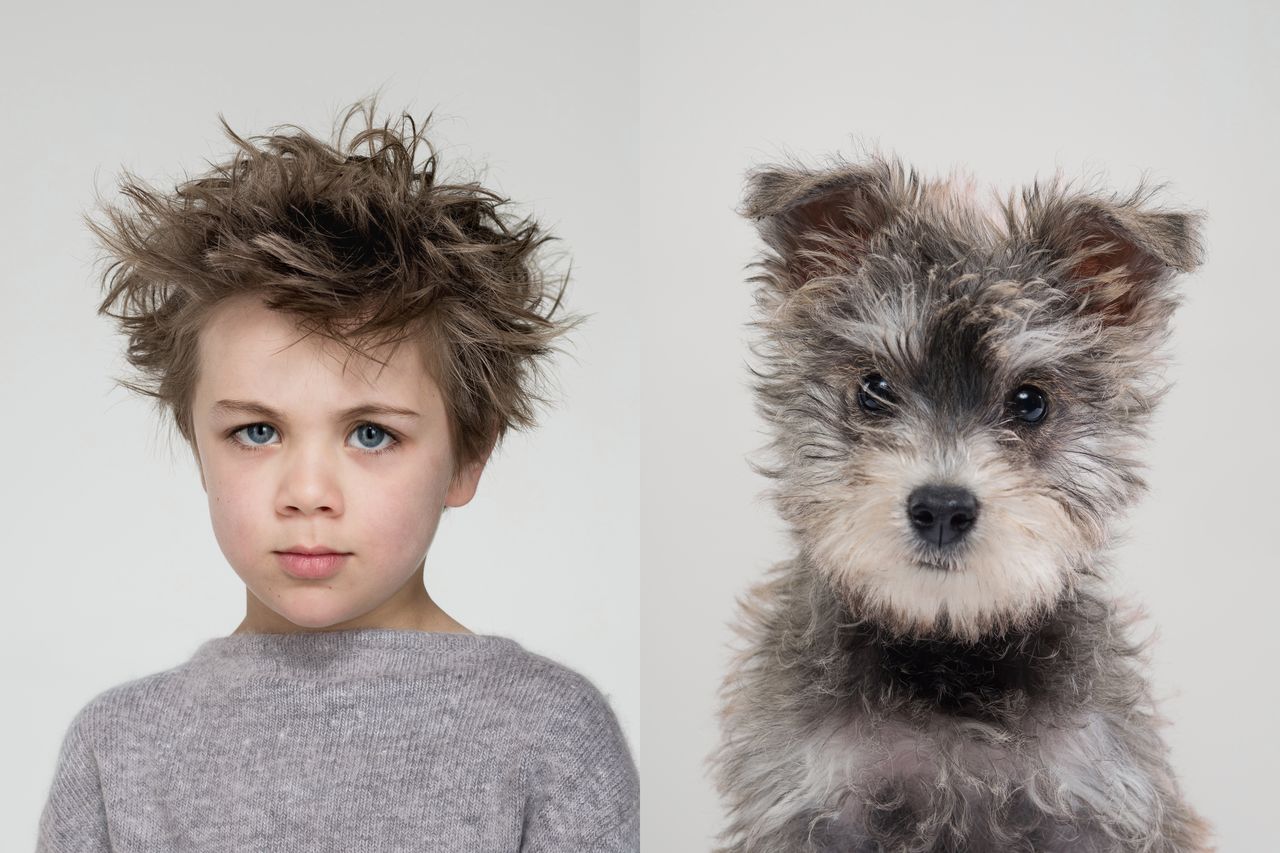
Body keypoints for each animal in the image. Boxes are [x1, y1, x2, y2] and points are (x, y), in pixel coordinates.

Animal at [716, 153, 1213, 850]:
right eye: (874, 389)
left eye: (1030, 402)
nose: (943, 509)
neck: (946, 656)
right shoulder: (812, 805)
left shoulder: (1093, 802)